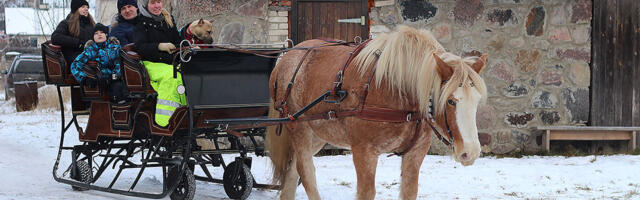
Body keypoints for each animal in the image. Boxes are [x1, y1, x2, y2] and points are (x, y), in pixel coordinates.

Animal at [268, 25, 488, 200]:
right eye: (450, 101)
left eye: (477, 100)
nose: (470, 152)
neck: (397, 87)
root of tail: (286, 57)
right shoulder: (363, 151)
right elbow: (366, 193)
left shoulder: (416, 153)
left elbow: (410, 191)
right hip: (299, 128)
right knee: (305, 172)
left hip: (318, 134)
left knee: (292, 171)